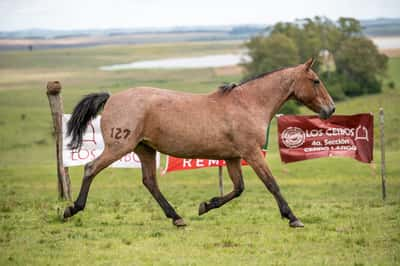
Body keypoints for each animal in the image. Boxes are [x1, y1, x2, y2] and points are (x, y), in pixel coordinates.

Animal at [64, 58, 336, 229]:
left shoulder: (232, 157)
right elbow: (272, 184)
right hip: (120, 147)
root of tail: (111, 98)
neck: (248, 104)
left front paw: (205, 205)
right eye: (315, 81)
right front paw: (293, 218)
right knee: (90, 168)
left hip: (145, 149)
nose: (331, 109)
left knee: (150, 182)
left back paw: (177, 218)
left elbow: (238, 188)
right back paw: (72, 209)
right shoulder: (252, 153)